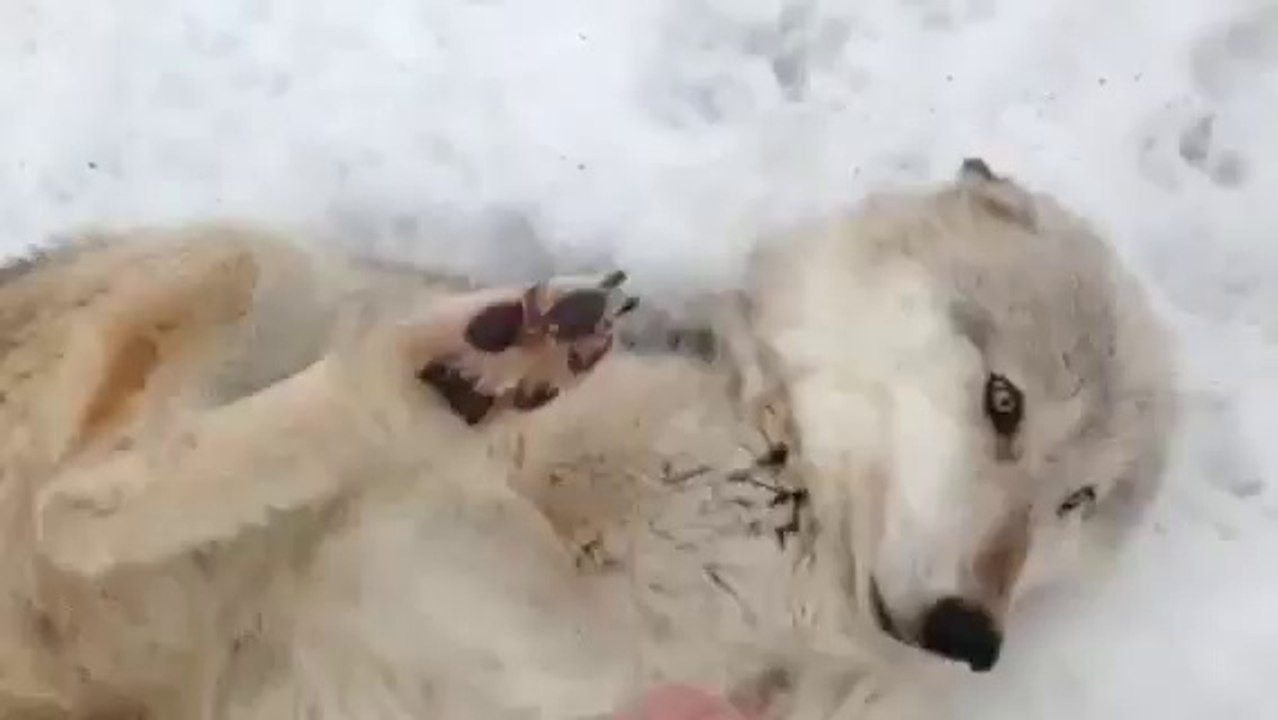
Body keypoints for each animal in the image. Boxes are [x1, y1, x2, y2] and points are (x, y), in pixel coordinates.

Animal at [0, 158, 1175, 720]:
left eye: (1079, 503)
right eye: (1005, 402)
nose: (975, 638)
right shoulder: (457, 525)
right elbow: (525, 589)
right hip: (256, 267)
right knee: (76, 509)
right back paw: (453, 370)